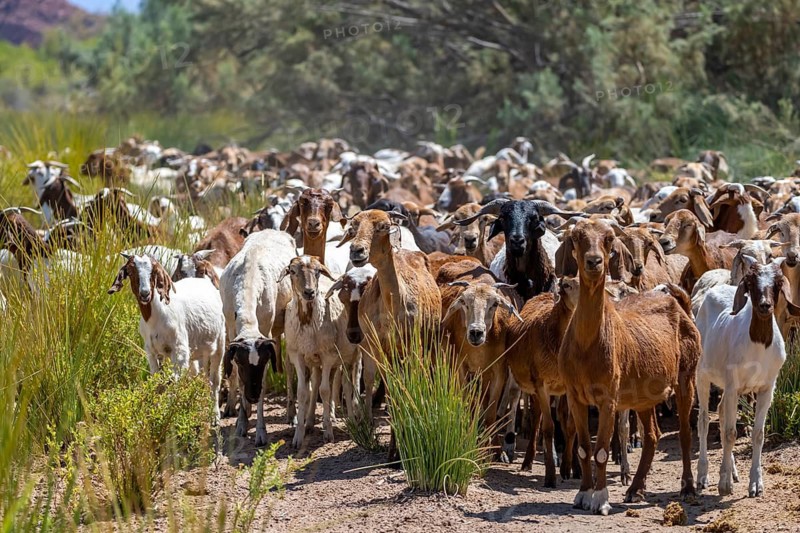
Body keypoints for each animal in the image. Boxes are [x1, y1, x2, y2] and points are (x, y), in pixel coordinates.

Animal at [559, 219, 700, 514]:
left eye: (609, 239)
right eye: (577, 238)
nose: (594, 261)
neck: (588, 346)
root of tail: (679, 303)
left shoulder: (608, 397)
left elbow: (600, 450)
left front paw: (600, 499)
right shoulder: (575, 395)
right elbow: (584, 449)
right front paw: (582, 494)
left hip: (686, 377)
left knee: (684, 434)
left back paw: (688, 487)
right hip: (643, 394)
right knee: (653, 435)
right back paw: (635, 489)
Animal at [696, 258, 800, 497]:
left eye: (777, 283)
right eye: (751, 282)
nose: (764, 305)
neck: (758, 347)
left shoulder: (766, 388)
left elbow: (758, 434)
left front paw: (755, 484)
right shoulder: (734, 386)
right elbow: (730, 432)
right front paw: (724, 485)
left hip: (725, 384)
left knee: (721, 411)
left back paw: (731, 471)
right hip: (701, 374)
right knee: (703, 420)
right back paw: (702, 476)